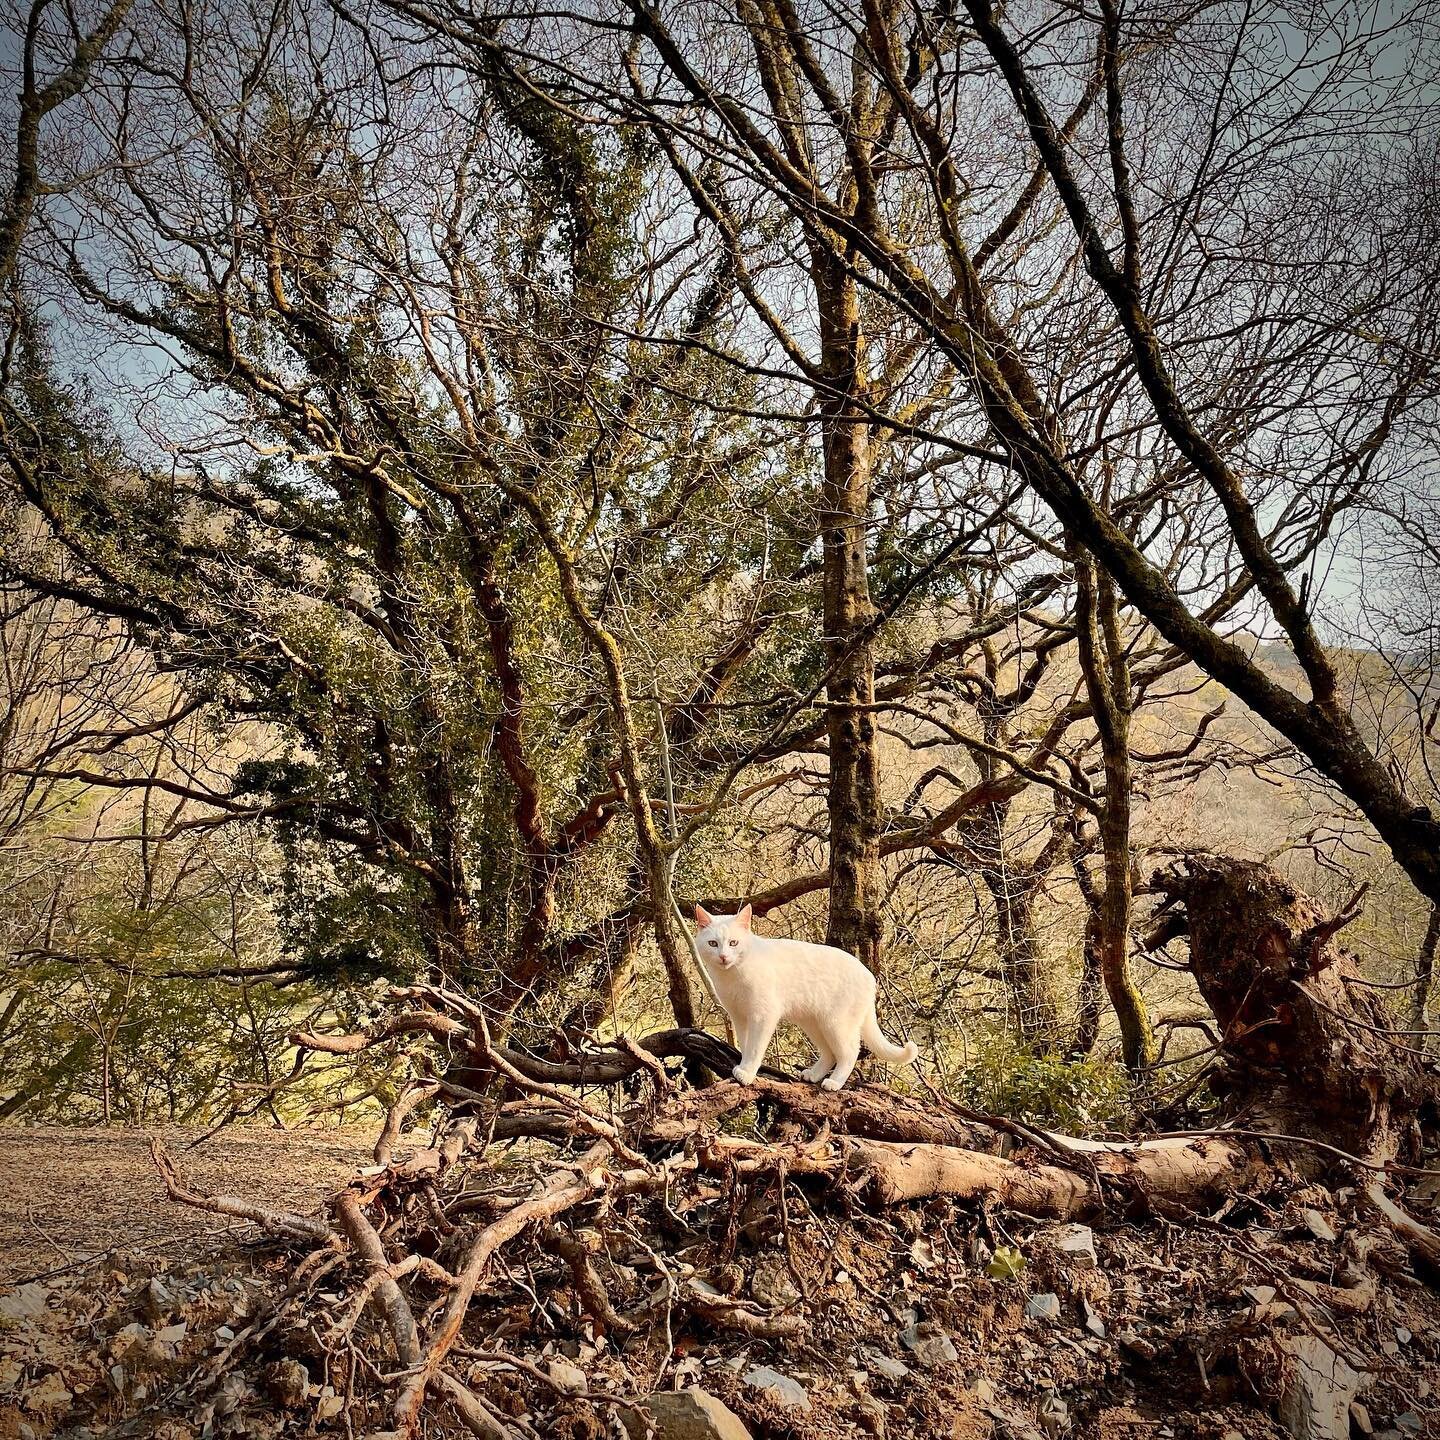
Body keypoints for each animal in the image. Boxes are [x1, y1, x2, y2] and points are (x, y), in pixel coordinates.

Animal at [691, 898, 915, 1088]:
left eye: (733, 943)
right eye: (713, 943)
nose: (723, 957)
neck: (732, 975)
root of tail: (870, 976)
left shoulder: (763, 1016)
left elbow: (755, 1048)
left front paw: (747, 1073)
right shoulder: (739, 1017)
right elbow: (746, 1045)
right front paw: (743, 1067)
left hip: (836, 1024)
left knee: (850, 1052)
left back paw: (834, 1082)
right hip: (814, 1023)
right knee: (829, 1054)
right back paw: (813, 1075)